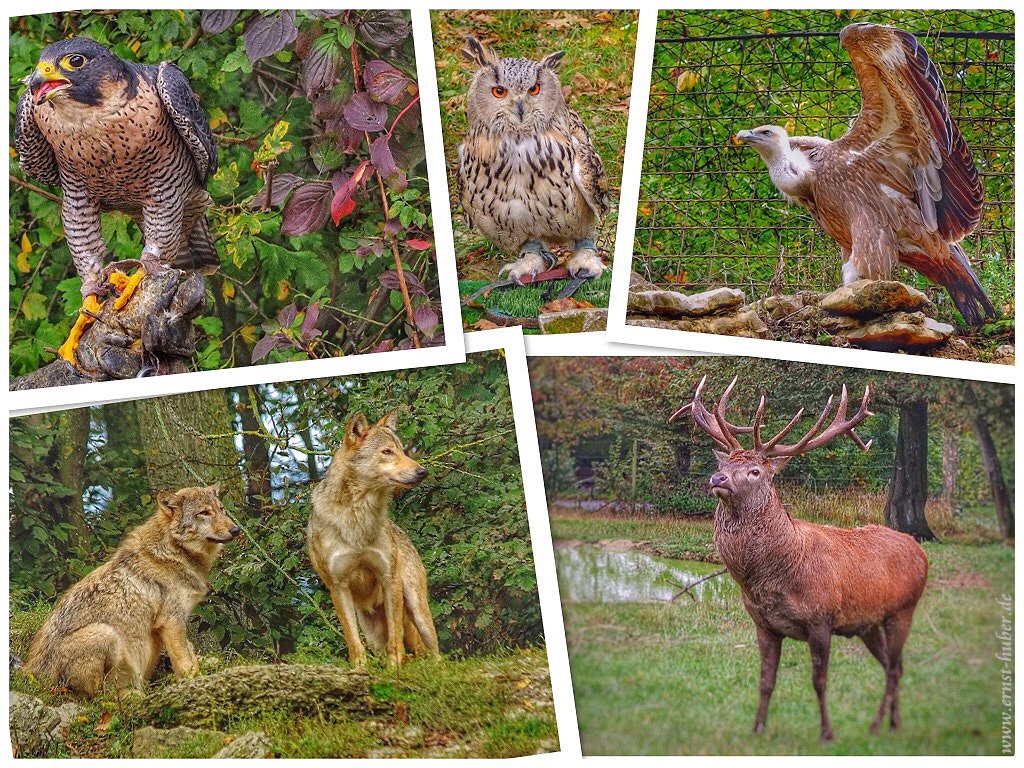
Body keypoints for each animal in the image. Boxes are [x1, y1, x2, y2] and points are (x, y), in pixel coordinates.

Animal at [27, 487, 238, 696]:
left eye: (221, 509)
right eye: (204, 513)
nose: (236, 530)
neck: (173, 552)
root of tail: (36, 678)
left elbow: (190, 652)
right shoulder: (172, 621)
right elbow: (186, 661)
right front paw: (195, 683)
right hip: (106, 633)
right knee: (97, 696)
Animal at [303, 411, 440, 671]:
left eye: (402, 450)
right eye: (387, 451)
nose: (422, 472)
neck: (358, 516)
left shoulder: (389, 580)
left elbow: (396, 641)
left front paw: (394, 669)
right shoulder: (338, 586)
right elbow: (353, 643)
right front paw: (359, 670)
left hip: (417, 609)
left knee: (433, 652)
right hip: (372, 632)